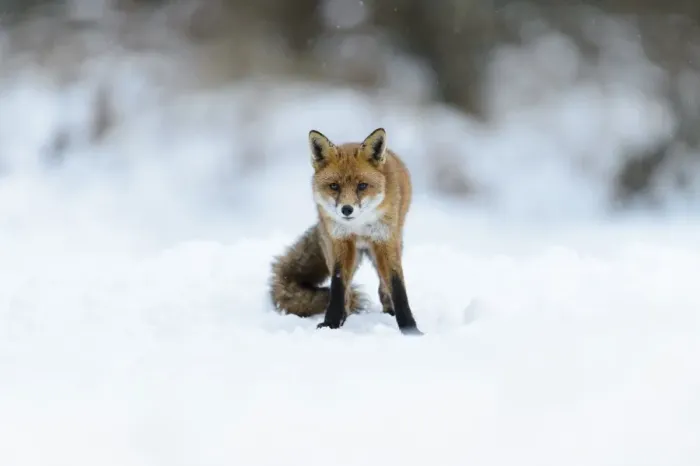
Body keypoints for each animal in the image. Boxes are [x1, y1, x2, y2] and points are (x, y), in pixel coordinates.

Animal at [269, 127, 422, 335]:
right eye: (334, 186)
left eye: (362, 186)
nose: (347, 210)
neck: (359, 225)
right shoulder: (341, 243)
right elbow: (338, 286)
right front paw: (331, 323)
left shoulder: (385, 240)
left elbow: (397, 286)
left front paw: (410, 329)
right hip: (337, 250)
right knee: (348, 292)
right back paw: (344, 318)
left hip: (388, 245)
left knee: (383, 286)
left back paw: (388, 311)